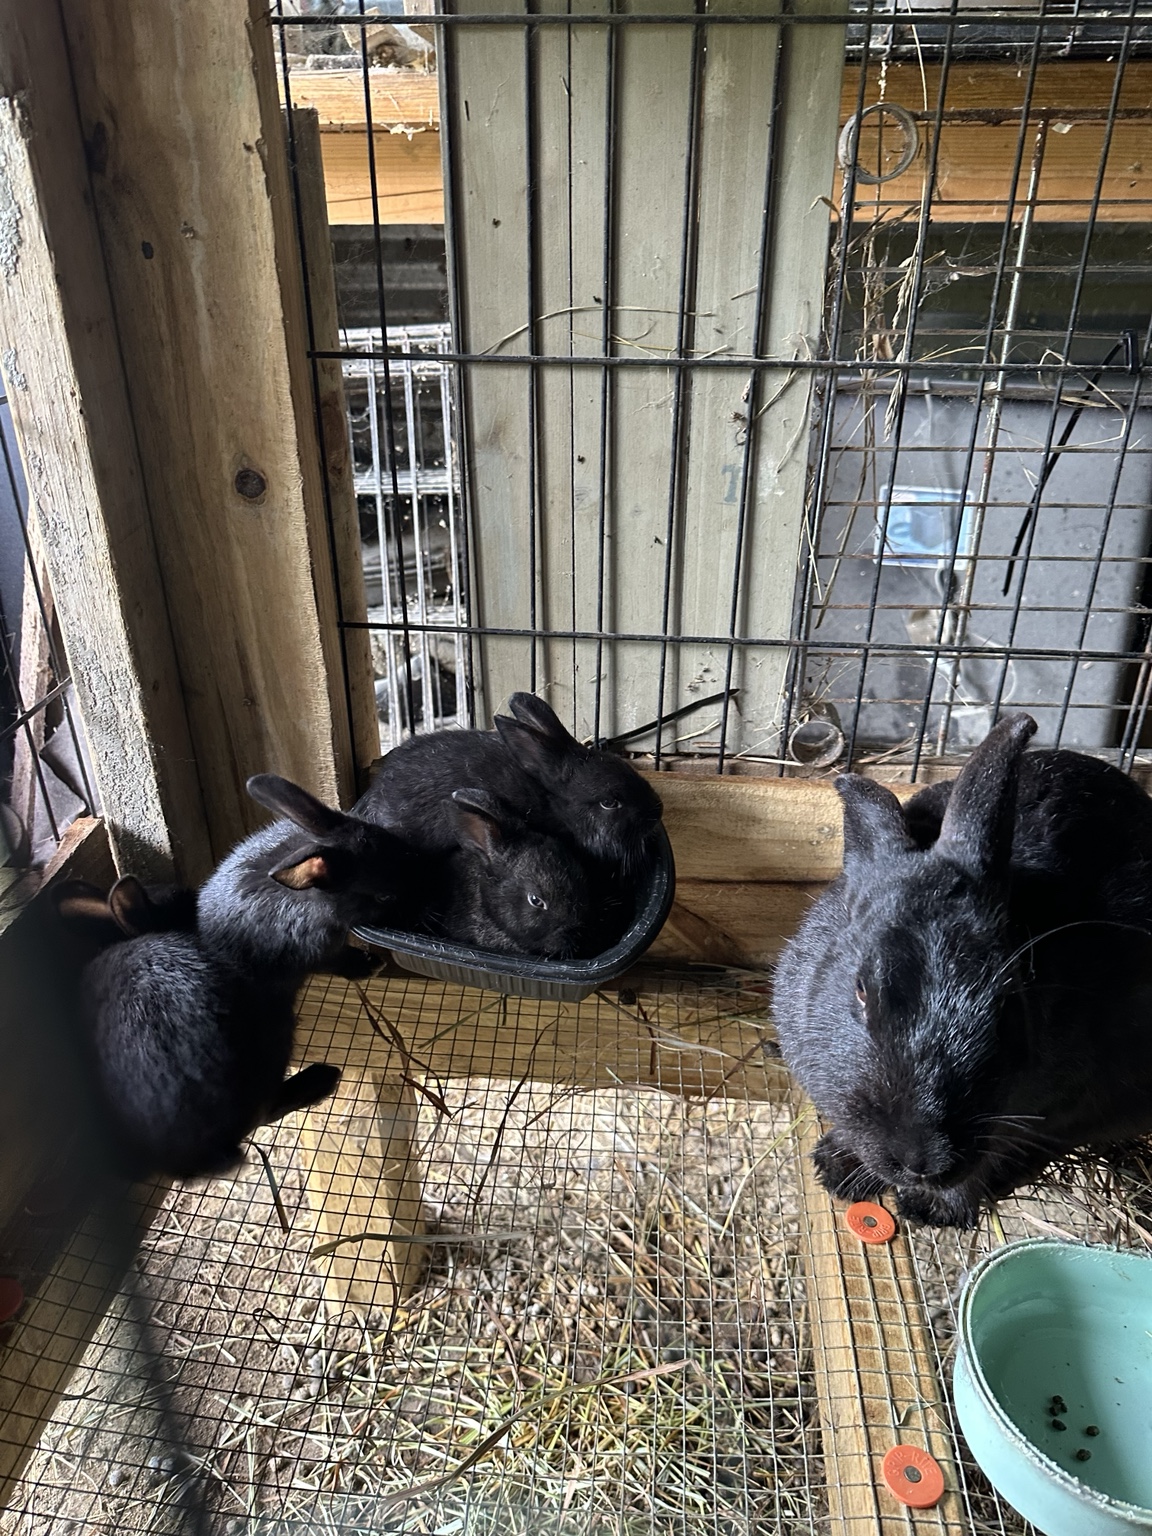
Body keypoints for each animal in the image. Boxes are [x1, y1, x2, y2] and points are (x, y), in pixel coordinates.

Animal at [772, 711, 1152, 1229]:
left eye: (1008, 1001)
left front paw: (930, 1209)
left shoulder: (1053, 1110)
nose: (923, 1161)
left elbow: (998, 1156)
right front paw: (838, 1170)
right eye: (862, 989)